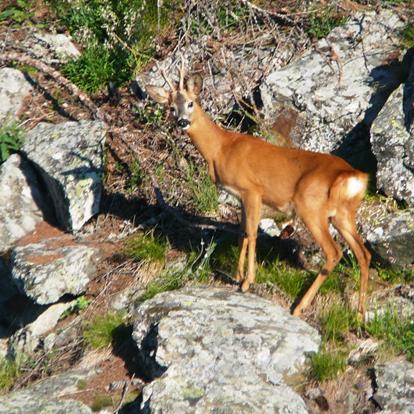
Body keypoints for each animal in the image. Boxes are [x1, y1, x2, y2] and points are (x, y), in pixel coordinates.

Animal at [146, 61, 372, 318]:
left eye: (191, 102)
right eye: (171, 107)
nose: (182, 121)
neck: (219, 149)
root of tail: (354, 176)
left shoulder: (252, 189)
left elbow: (252, 233)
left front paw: (247, 281)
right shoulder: (239, 196)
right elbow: (242, 231)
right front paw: (237, 275)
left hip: (311, 207)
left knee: (334, 252)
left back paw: (299, 307)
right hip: (342, 213)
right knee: (363, 254)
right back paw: (360, 313)